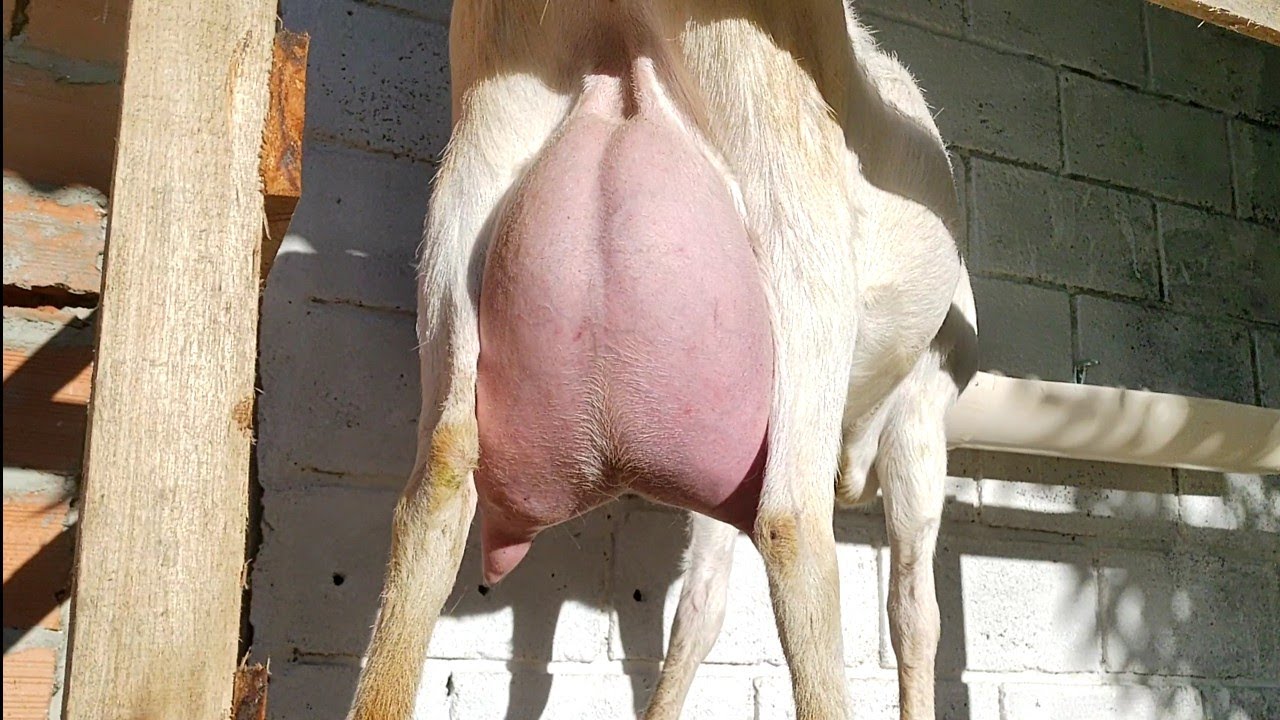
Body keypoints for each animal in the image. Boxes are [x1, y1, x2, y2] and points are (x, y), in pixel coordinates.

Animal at [348, 2, 976, 719]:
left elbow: (699, 606)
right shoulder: (923, 410)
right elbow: (915, 615)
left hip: (464, 197)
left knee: (440, 476)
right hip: (799, 218)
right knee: (793, 524)